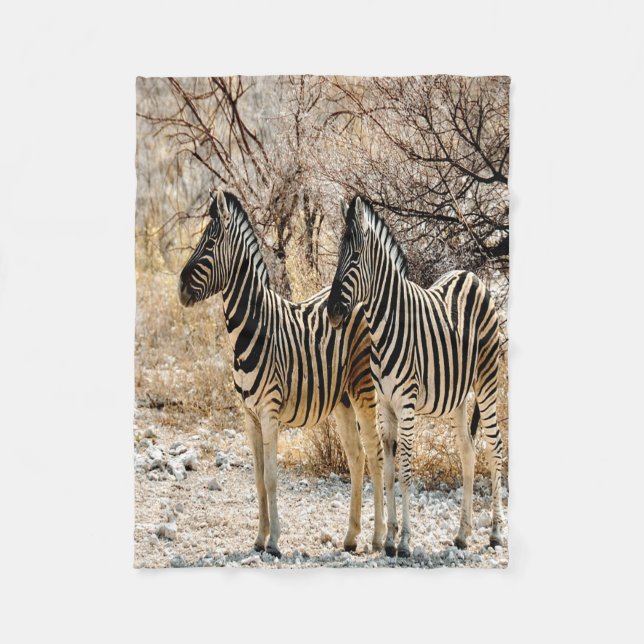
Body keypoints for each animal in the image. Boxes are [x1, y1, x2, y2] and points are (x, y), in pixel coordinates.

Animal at [178, 188, 385, 558]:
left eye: (210, 241)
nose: (180, 287)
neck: (252, 328)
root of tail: (362, 299)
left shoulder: (269, 411)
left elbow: (273, 477)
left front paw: (274, 541)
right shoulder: (249, 415)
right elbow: (258, 479)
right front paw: (259, 538)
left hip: (364, 389)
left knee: (375, 456)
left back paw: (377, 539)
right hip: (343, 399)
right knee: (356, 457)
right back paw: (350, 537)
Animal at [327, 195, 505, 557]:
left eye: (355, 256)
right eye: (338, 254)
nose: (332, 311)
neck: (384, 325)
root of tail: (472, 276)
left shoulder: (406, 405)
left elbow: (407, 470)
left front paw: (406, 540)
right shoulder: (384, 406)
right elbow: (388, 470)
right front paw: (389, 540)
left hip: (488, 381)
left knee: (495, 447)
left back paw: (495, 532)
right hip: (458, 396)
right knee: (468, 451)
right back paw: (462, 534)